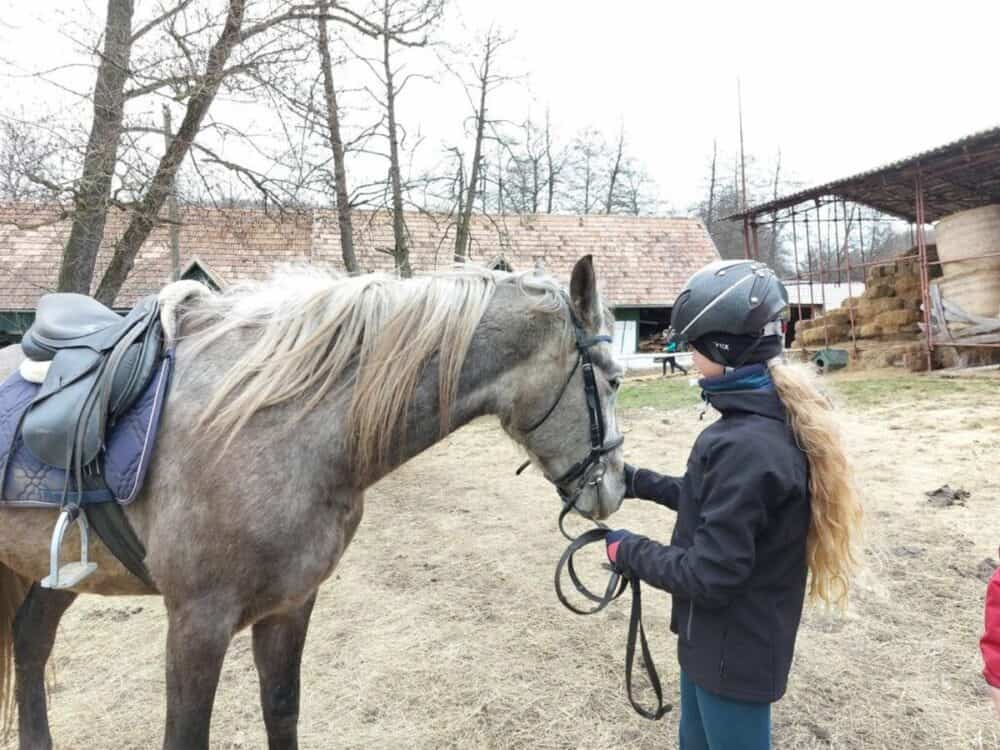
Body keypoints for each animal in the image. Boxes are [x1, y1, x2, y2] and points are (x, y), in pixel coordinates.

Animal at [0, 256, 624, 748]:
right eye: (614, 380)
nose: (615, 487)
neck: (272, 424)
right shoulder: (197, 622)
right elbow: (187, 735)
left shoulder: (291, 603)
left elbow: (281, 708)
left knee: (30, 642)